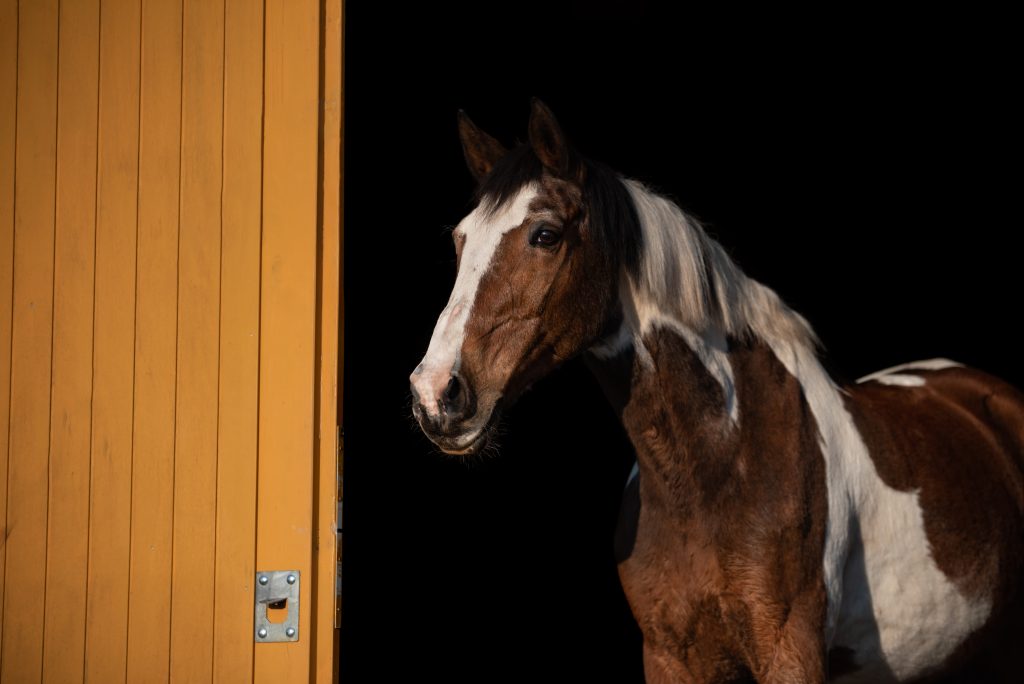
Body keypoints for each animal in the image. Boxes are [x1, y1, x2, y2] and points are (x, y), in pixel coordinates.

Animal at [407, 101, 1024, 684]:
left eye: (545, 235)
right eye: (461, 240)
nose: (436, 393)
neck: (717, 465)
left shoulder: (789, 653)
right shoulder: (670, 657)